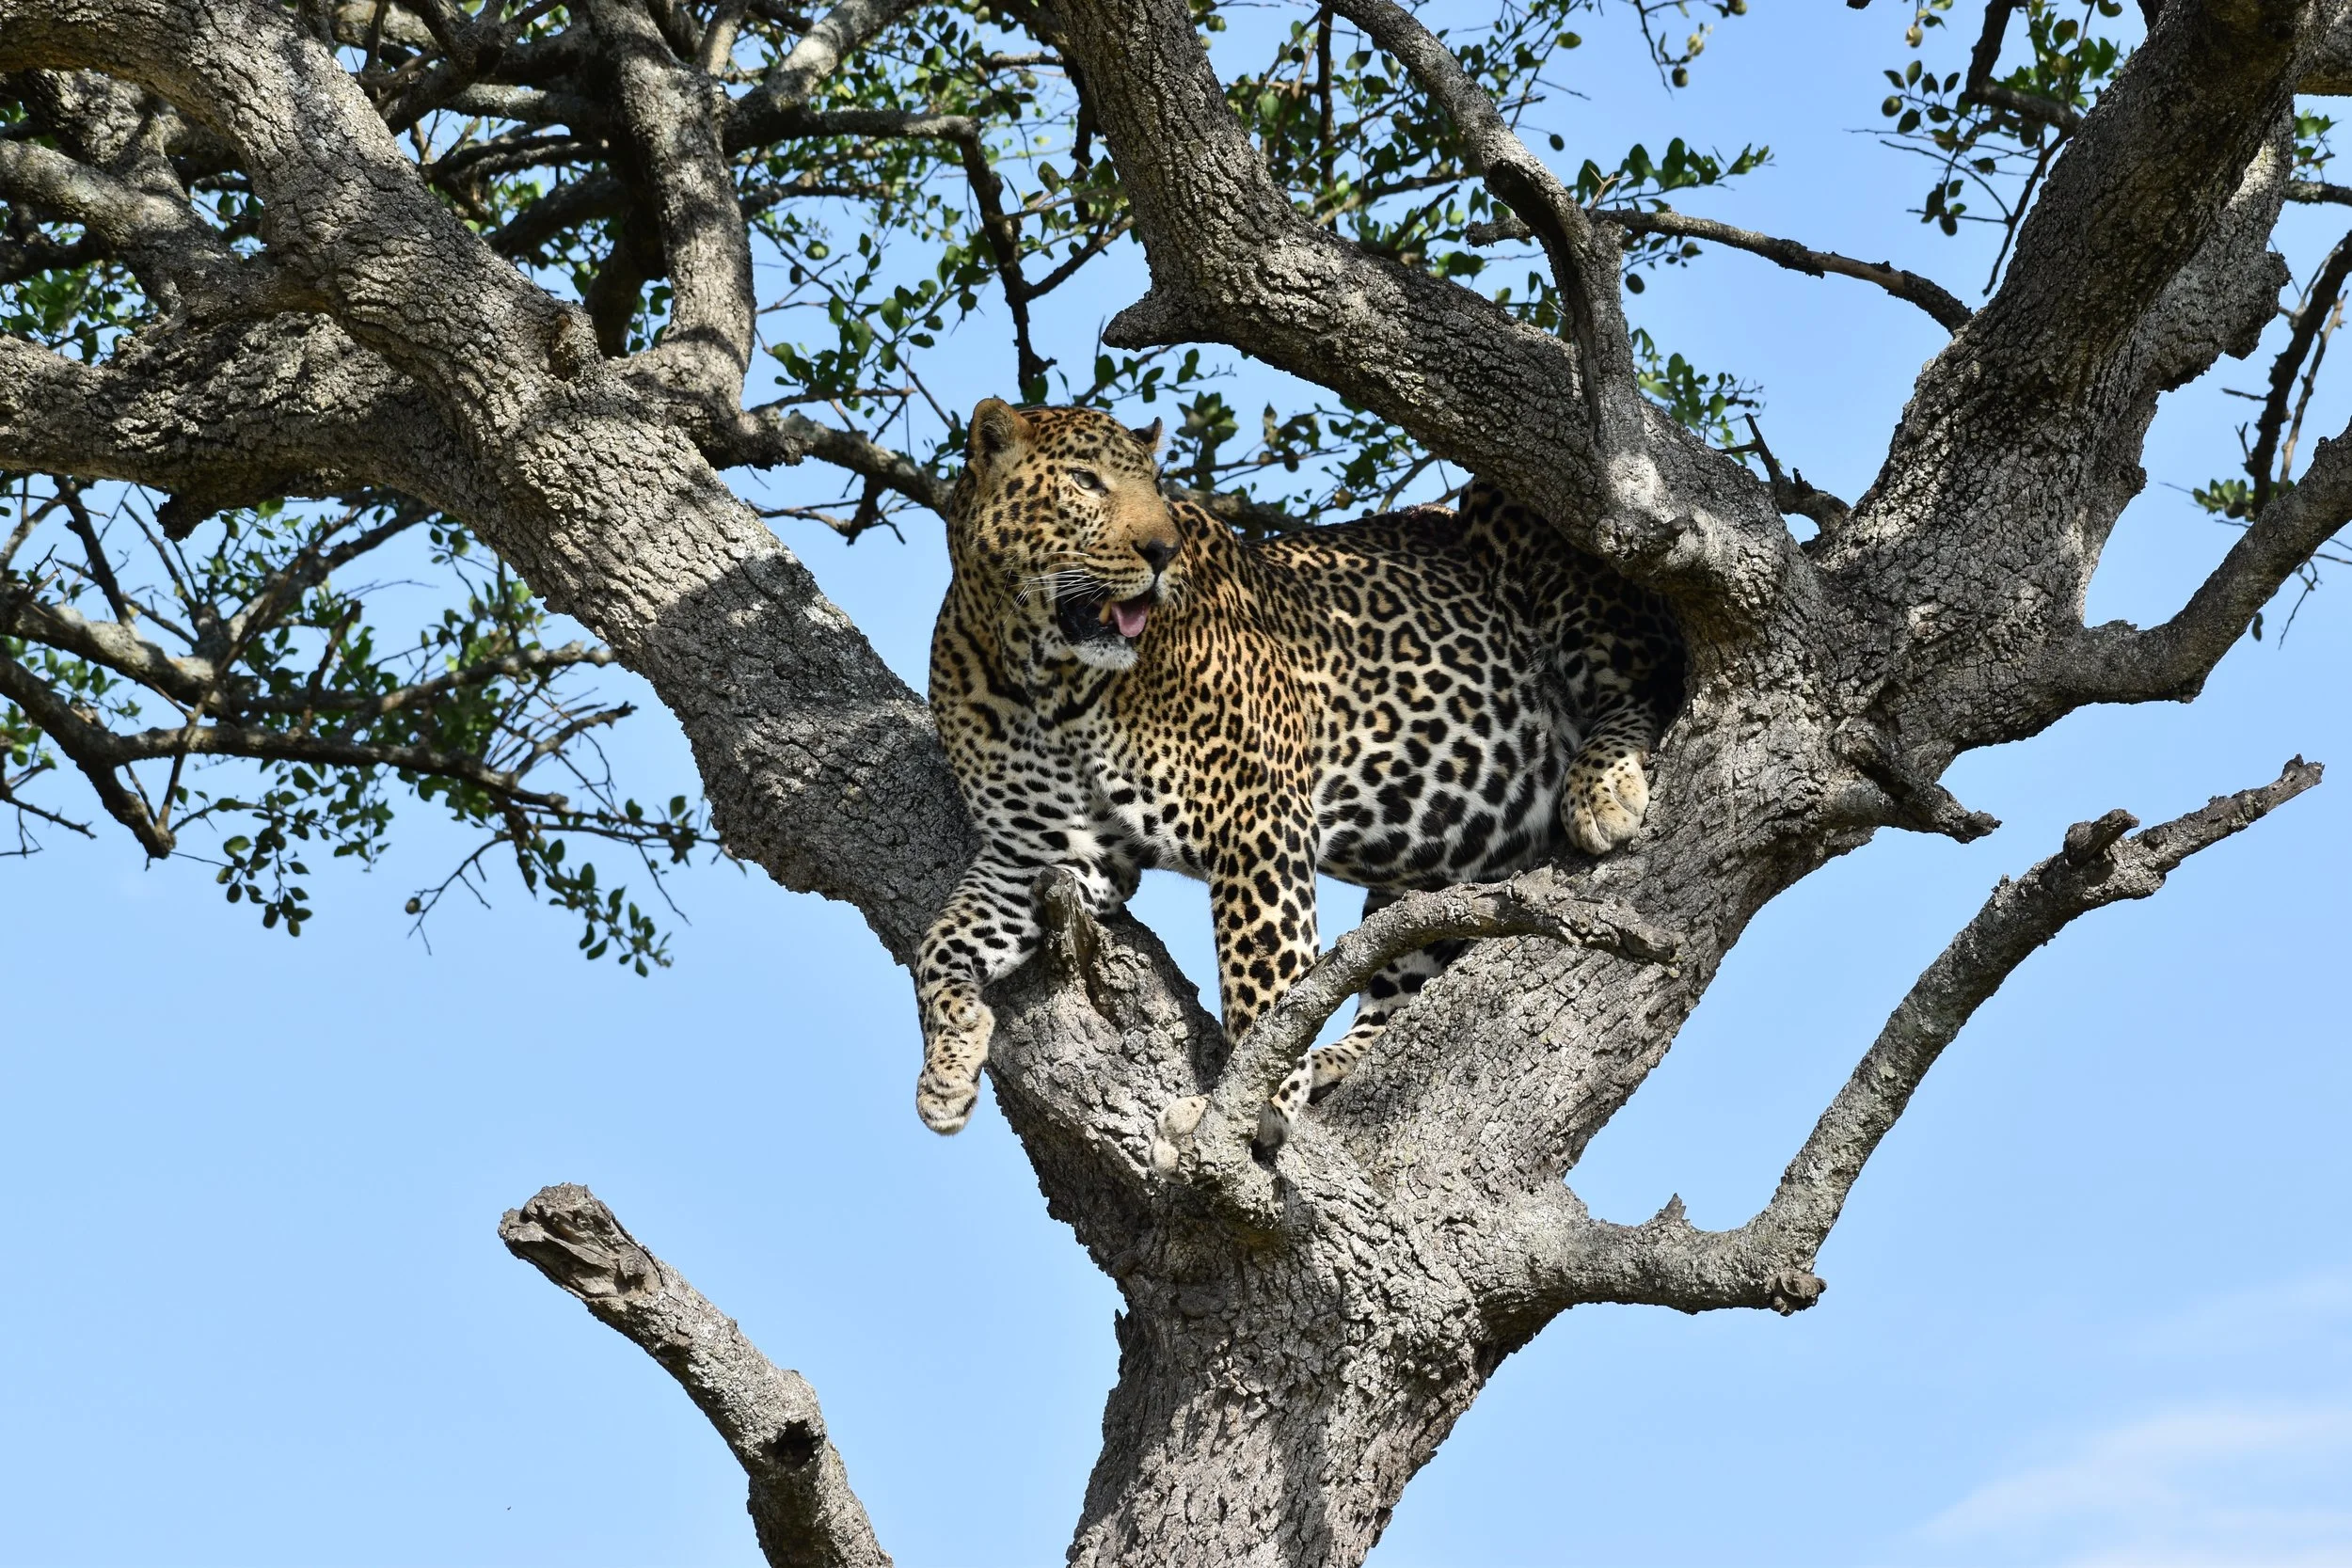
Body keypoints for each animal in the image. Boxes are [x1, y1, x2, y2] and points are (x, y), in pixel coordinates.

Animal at [913, 398, 1684, 1142]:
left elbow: (1264, 974)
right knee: (1399, 987)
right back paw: (1332, 1061)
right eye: (1084, 481)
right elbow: (938, 946)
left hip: (1513, 512)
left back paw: (1603, 785)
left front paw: (1251, 1104)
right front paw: (947, 1066)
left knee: (1644, 677)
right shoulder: (1042, 854)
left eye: (1157, 486)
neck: (1043, 674)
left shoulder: (1258, 815)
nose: (1162, 550)